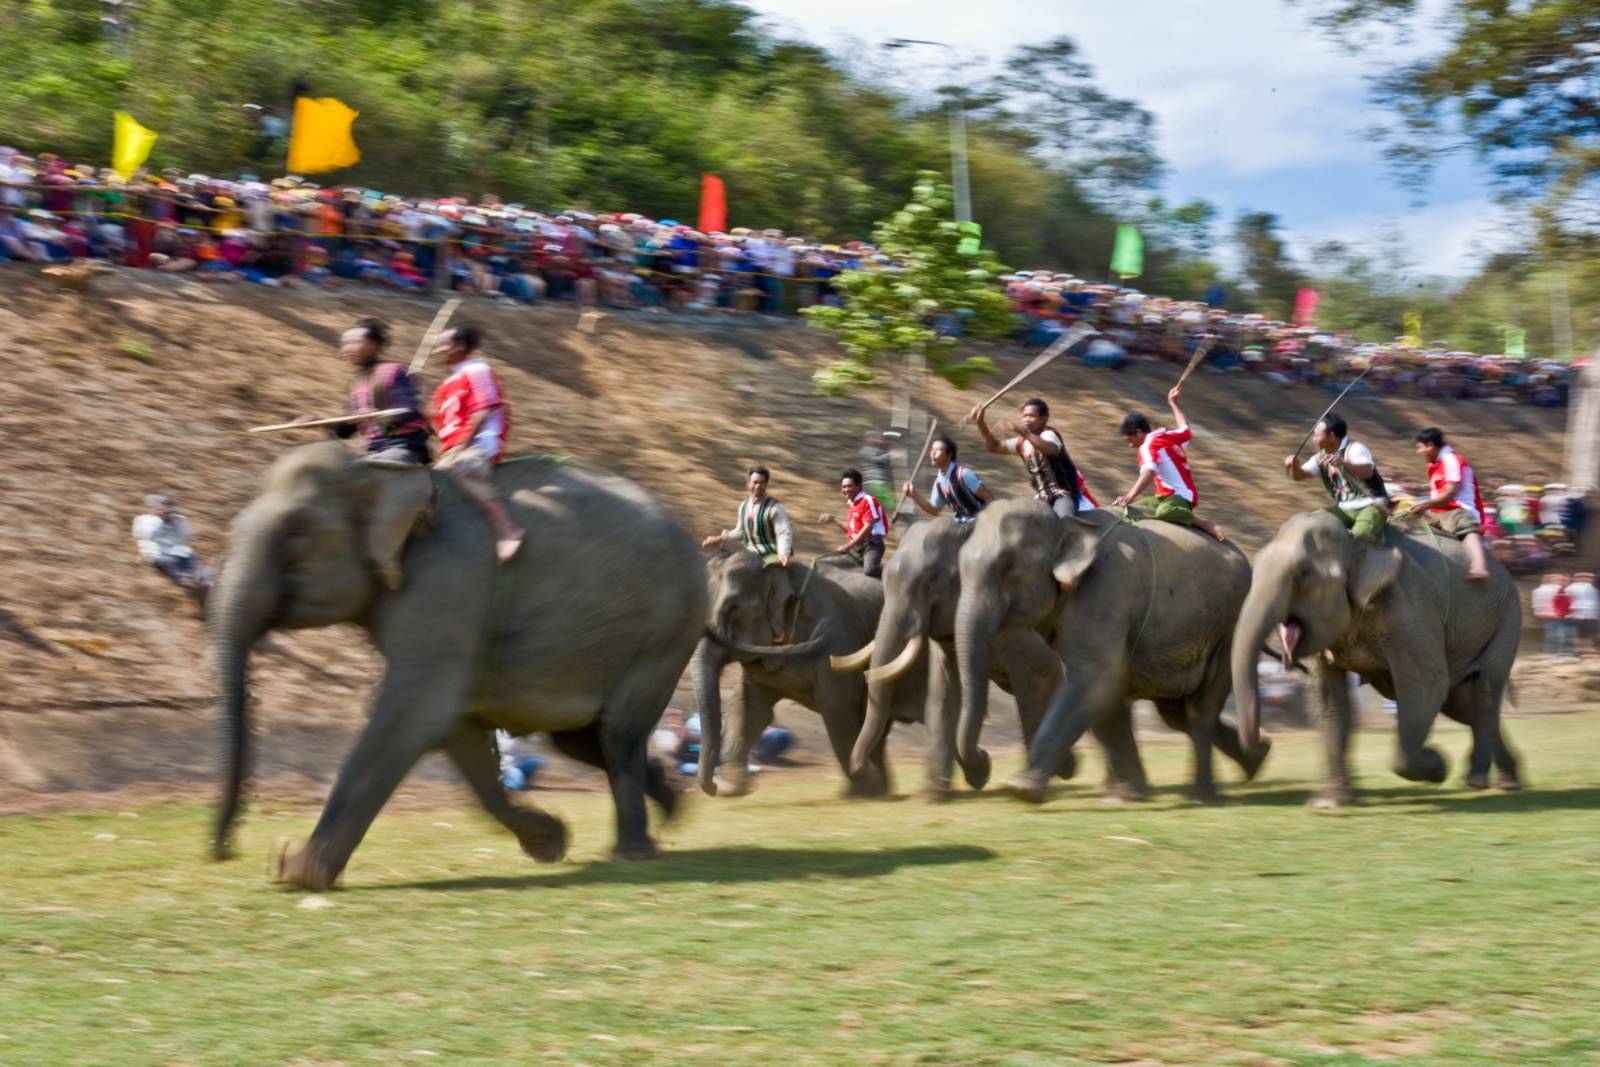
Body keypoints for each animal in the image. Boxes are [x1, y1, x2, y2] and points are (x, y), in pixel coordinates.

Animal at [212, 441, 707, 895]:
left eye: (295, 534)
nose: (224, 851)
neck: (379, 471)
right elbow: (454, 727)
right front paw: (549, 842)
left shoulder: (449, 582)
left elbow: (412, 718)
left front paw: (296, 872)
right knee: (583, 740)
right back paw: (671, 811)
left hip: (667, 630)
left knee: (617, 733)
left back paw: (632, 852)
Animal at [694, 550, 908, 799]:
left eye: (732, 608)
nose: (713, 786)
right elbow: (747, 706)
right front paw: (730, 788)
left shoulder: (839, 641)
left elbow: (837, 709)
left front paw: (867, 787)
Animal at [832, 518, 1081, 799]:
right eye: (884, 581)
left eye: (932, 579)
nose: (863, 769)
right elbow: (944, 690)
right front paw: (933, 796)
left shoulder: (1010, 623)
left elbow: (1040, 671)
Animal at [947, 505, 1273, 806]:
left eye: (1008, 566)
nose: (984, 759)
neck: (1065, 524)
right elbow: (1107, 695)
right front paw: (1126, 798)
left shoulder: (1104, 591)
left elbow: (1094, 682)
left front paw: (1020, 788)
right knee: (1175, 713)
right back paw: (1256, 760)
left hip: (1229, 627)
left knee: (1199, 709)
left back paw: (1203, 796)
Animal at [1228, 511, 1516, 806]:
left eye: (1303, 573)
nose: (1264, 744)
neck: (1356, 544)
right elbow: (1329, 698)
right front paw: (1330, 804)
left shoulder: (1408, 607)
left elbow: (1427, 684)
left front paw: (1439, 766)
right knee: (1461, 703)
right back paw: (1506, 781)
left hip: (1506, 617)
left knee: (1484, 689)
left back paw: (1478, 779)